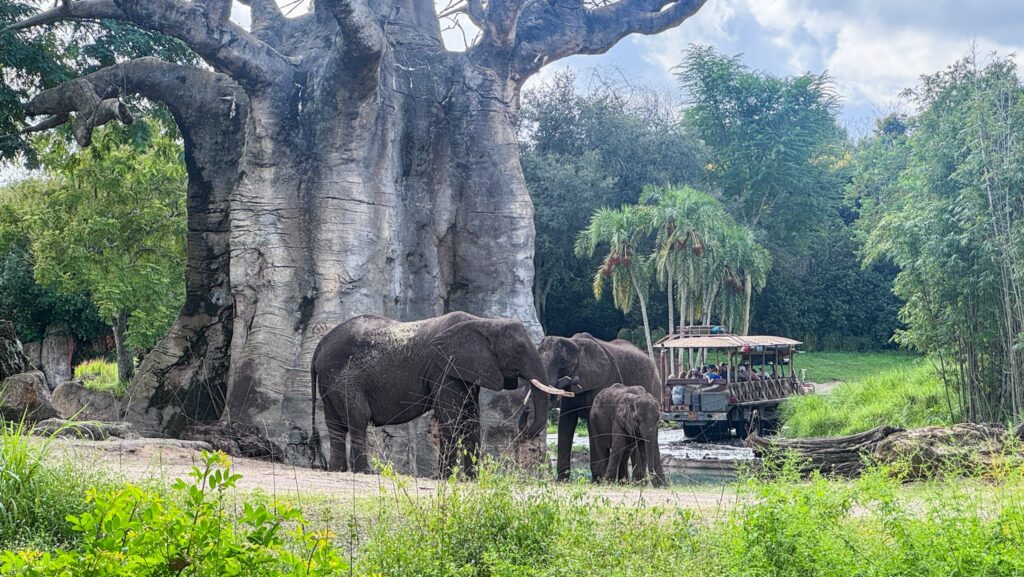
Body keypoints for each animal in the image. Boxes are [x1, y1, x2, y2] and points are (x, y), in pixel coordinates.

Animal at [310, 312, 561, 477]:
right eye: (518, 350)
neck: (485, 322)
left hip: (330, 381)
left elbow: (472, 420)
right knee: (358, 419)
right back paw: (366, 472)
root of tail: (320, 345)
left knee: (336, 424)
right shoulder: (444, 368)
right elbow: (450, 418)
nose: (526, 427)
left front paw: (471, 479)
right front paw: (445, 478)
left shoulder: (467, 370)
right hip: (344, 379)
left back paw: (338, 469)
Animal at [539, 333, 662, 481]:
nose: (571, 380)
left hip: (654, 389)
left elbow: (591, 424)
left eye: (562, 363)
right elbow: (566, 422)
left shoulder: (601, 382)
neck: (575, 343)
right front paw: (561, 481)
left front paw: (597, 480)